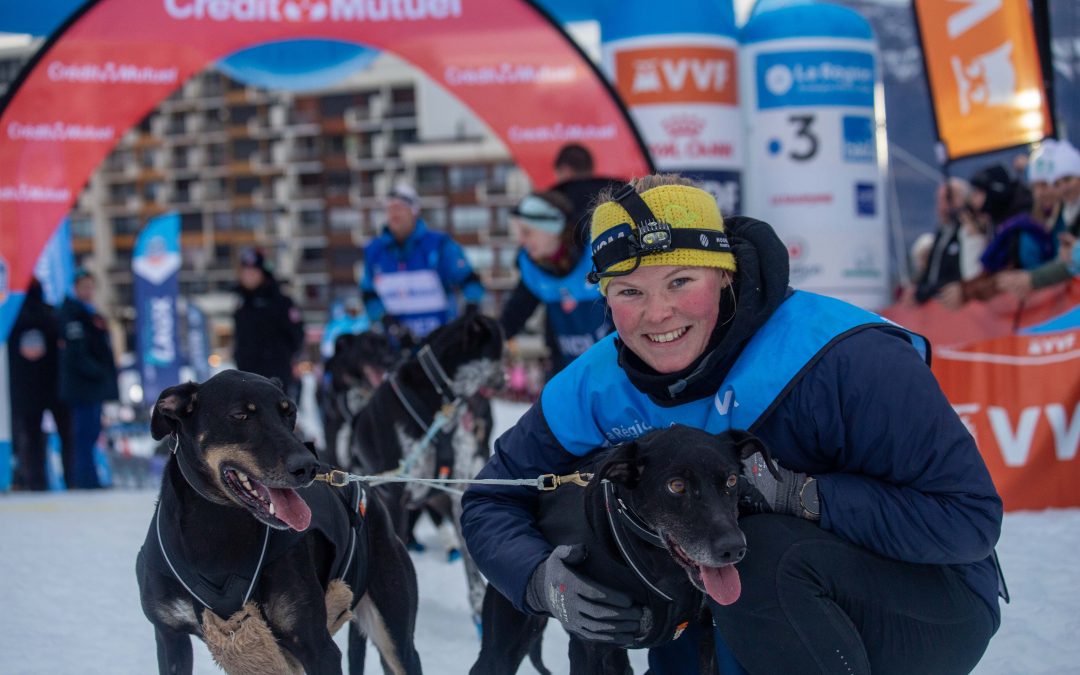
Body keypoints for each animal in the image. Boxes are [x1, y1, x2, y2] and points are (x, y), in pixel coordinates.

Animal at [136, 371, 421, 673]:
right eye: (240, 415)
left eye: (289, 412)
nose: (308, 466)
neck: (216, 527)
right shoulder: (170, 636)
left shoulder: (318, 648)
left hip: (395, 639)